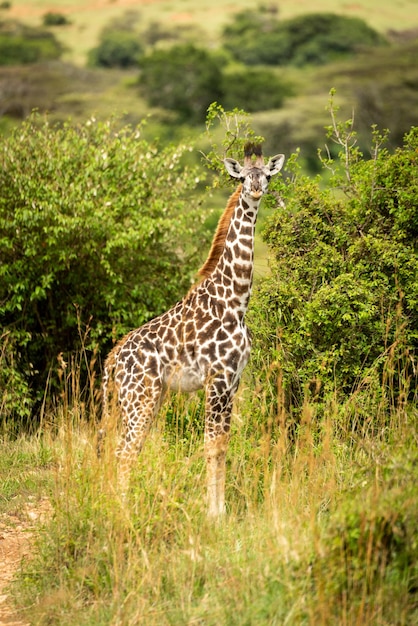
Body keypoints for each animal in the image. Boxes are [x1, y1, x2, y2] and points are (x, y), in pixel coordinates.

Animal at [101, 144, 284, 516]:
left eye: (267, 175)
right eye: (242, 177)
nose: (256, 189)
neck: (236, 301)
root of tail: (113, 359)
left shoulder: (234, 381)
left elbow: (222, 444)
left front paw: (221, 510)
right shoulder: (217, 378)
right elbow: (211, 444)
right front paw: (213, 514)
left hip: (147, 398)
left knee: (128, 448)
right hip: (139, 397)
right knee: (125, 451)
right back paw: (124, 514)